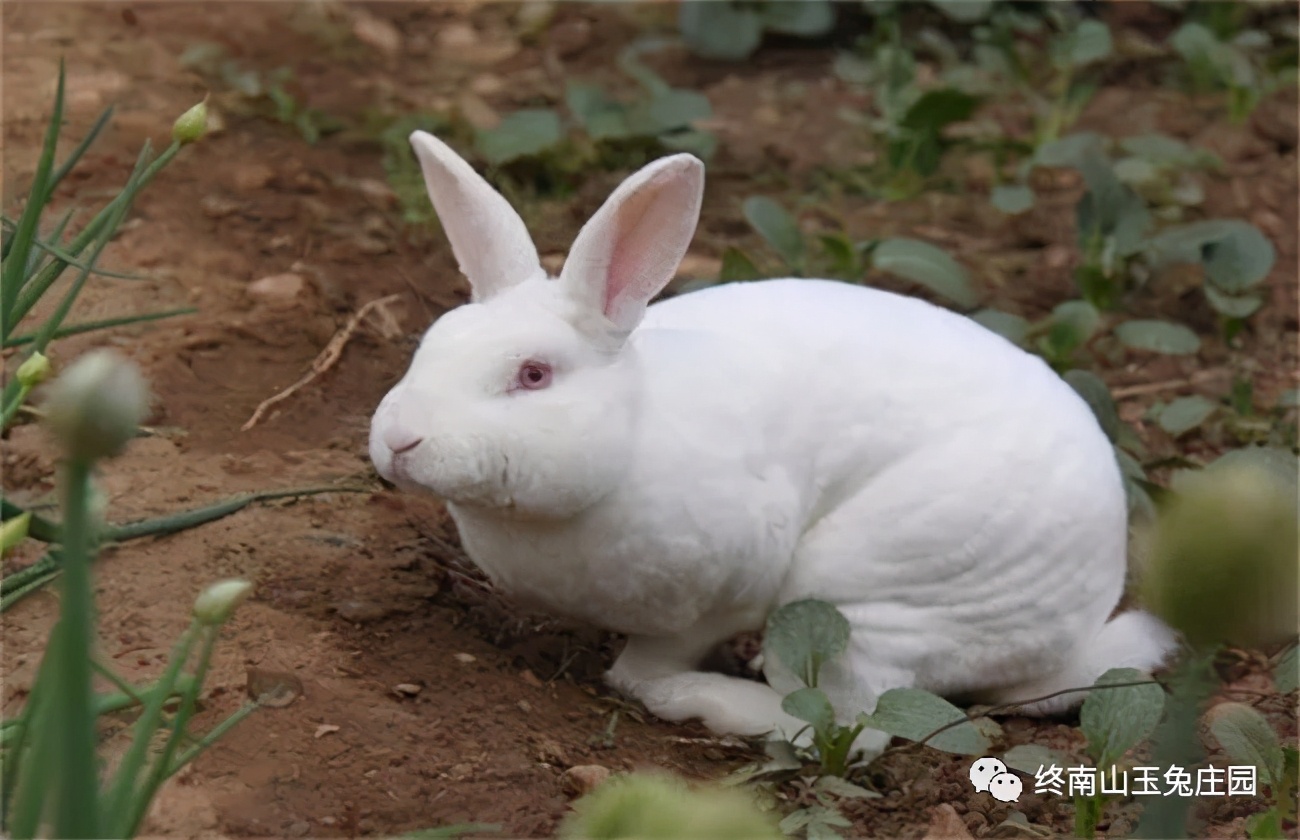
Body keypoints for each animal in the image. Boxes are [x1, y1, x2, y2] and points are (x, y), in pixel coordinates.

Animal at [371, 133, 1185, 759]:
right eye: (431, 342)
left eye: (534, 375)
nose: (400, 439)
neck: (632, 432)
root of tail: (1077, 629)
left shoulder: (713, 597)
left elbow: (642, 670)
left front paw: (672, 688)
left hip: (863, 591)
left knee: (850, 722)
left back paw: (724, 703)